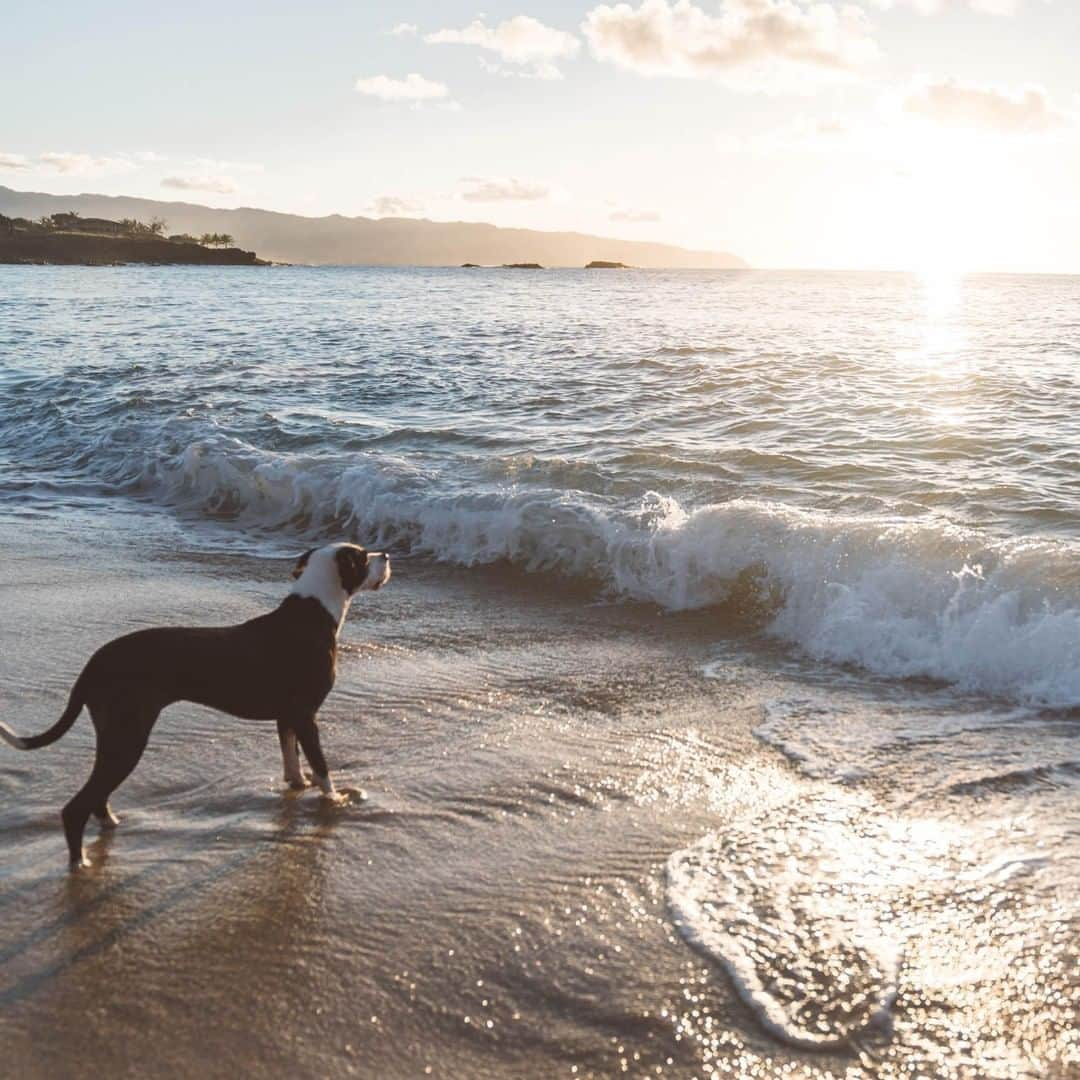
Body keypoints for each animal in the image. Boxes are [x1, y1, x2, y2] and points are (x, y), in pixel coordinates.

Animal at [0, 540, 393, 868]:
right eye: (361, 557)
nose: (387, 555)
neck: (313, 610)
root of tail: (95, 663)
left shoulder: (288, 717)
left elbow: (291, 759)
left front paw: (298, 786)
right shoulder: (306, 716)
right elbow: (322, 767)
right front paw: (336, 802)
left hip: (114, 733)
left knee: (97, 794)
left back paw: (111, 827)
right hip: (128, 736)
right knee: (77, 806)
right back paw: (80, 863)